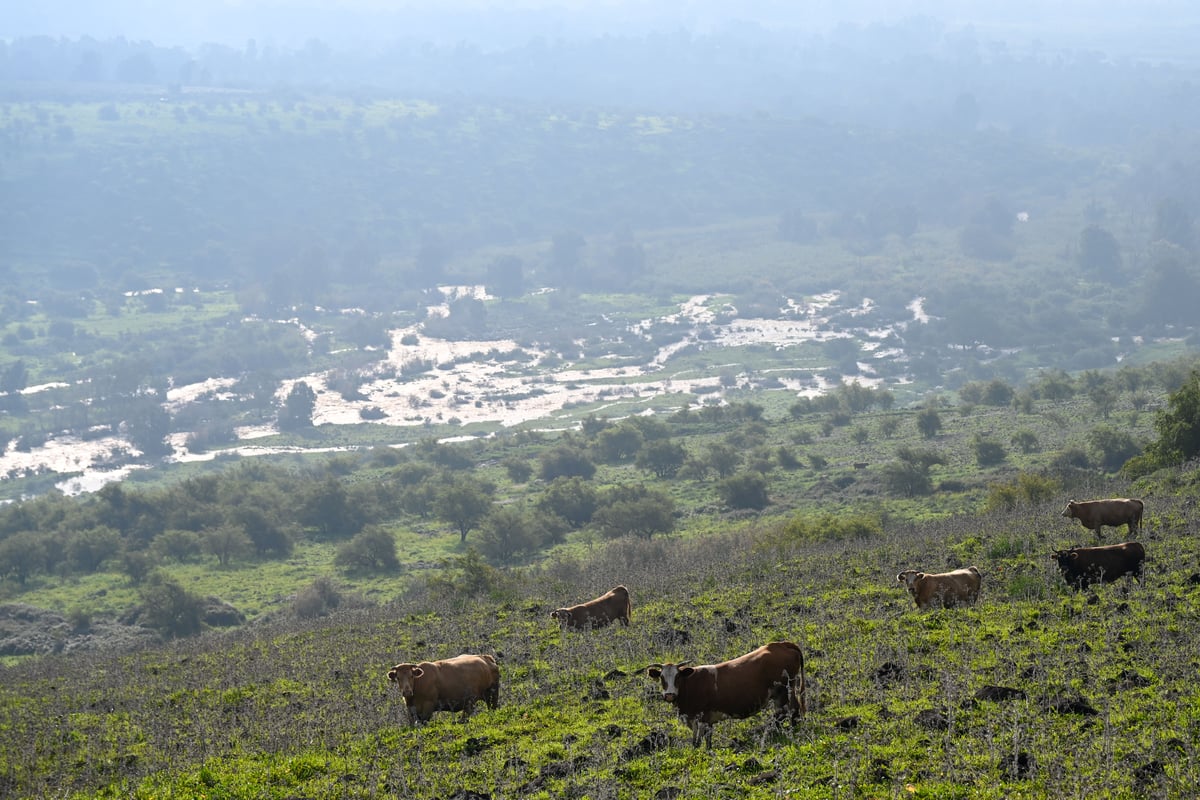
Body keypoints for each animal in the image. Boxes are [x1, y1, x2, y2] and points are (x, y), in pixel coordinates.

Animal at [638, 642, 806, 748]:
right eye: (662, 678)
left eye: (678, 677)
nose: (670, 695)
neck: (690, 685)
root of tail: (781, 644)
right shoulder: (706, 720)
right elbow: (707, 740)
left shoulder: (700, 719)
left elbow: (697, 743)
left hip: (784, 690)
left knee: (788, 711)